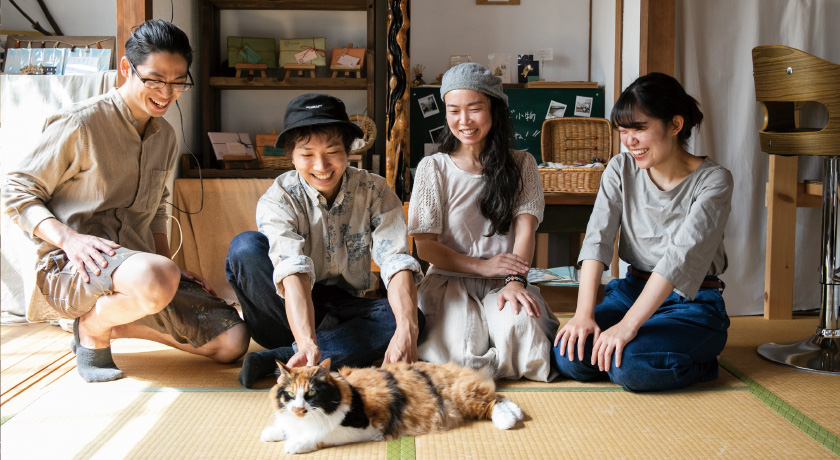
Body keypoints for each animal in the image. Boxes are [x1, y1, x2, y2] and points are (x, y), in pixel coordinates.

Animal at [262, 360, 524, 452]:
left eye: (312, 393)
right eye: (289, 395)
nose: (299, 409)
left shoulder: (366, 428)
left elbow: (322, 436)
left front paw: (294, 445)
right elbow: (284, 427)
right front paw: (272, 432)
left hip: (464, 396)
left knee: (494, 402)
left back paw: (508, 421)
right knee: (500, 396)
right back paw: (517, 413)